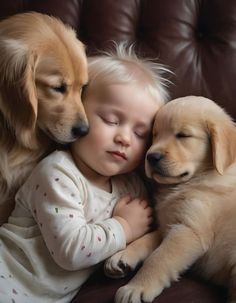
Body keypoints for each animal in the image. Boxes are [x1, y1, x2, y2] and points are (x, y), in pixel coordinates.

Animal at [105, 97, 236, 303]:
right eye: (155, 135)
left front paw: (136, 287)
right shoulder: (169, 224)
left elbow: (158, 259)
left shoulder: (189, 230)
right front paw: (123, 255)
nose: (151, 157)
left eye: (183, 135)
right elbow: (147, 239)